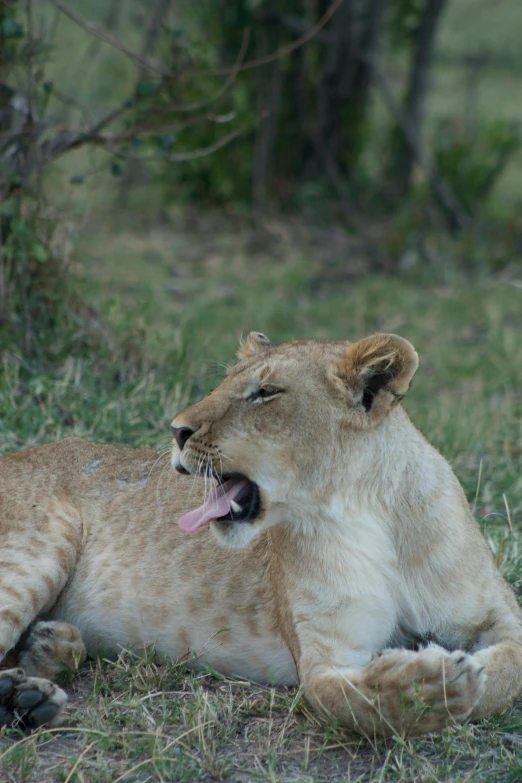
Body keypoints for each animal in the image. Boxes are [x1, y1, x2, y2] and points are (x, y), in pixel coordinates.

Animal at [1, 334, 520, 740]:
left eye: (265, 392)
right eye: (225, 382)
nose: (176, 430)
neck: (365, 509)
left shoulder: (500, 614)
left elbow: (505, 678)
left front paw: (457, 683)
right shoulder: (321, 656)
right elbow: (351, 701)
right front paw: (431, 687)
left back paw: (44, 658)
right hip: (37, 553)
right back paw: (26, 696)